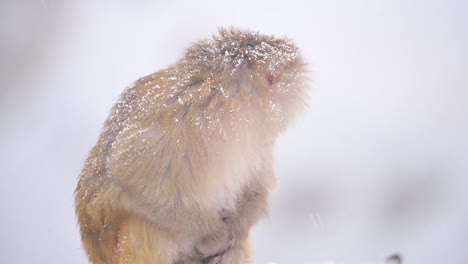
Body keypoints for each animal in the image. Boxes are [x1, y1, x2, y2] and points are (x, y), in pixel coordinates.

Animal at [75, 27, 308, 262]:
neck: (231, 96)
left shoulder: (256, 138)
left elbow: (257, 181)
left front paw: (240, 223)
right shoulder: (193, 123)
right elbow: (130, 176)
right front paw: (215, 234)